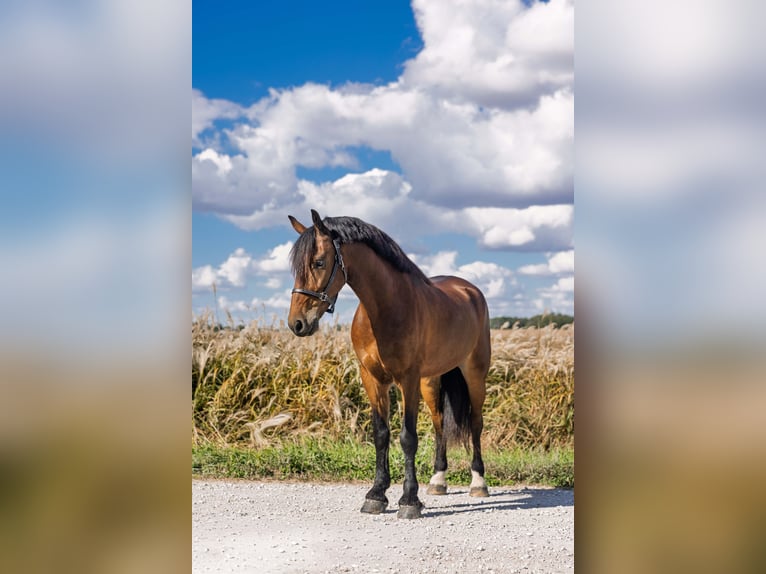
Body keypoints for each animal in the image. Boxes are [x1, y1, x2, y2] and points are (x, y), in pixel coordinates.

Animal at [287, 209, 491, 519]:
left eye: (319, 262)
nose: (297, 324)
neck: (385, 308)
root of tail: (469, 290)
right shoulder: (372, 379)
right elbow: (381, 434)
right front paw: (376, 494)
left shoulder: (407, 379)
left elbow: (408, 437)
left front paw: (409, 500)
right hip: (431, 381)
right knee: (439, 424)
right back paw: (438, 480)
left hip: (474, 373)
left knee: (476, 423)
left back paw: (478, 482)